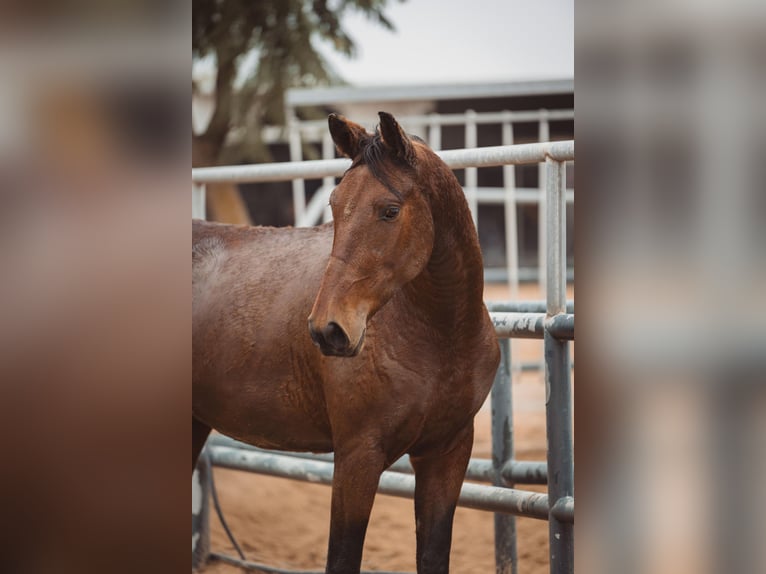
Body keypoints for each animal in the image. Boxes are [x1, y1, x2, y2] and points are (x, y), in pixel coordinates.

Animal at [195, 112, 500, 574]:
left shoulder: (447, 453)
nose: (328, 330)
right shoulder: (358, 457)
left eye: (390, 210)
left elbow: (433, 555)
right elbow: (342, 557)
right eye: (335, 206)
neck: (440, 337)